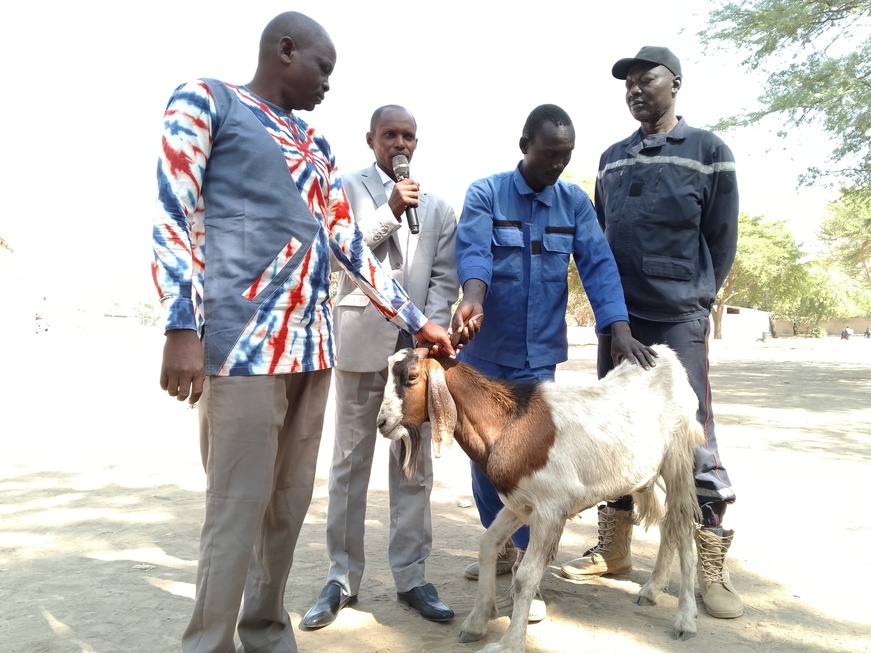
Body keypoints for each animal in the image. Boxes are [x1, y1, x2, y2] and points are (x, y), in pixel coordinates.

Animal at [378, 344, 704, 648]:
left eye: (411, 376)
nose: (382, 423)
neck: (510, 425)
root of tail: (666, 356)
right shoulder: (519, 504)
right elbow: (487, 546)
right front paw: (476, 623)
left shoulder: (551, 510)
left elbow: (526, 575)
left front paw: (508, 644)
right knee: (669, 525)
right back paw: (652, 590)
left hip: (677, 459)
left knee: (683, 529)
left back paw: (686, 620)